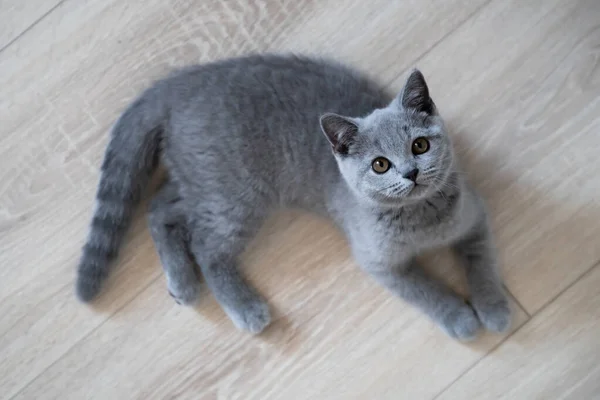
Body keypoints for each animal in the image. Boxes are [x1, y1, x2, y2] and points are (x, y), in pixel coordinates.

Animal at [77, 53, 510, 340]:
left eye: (420, 145)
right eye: (380, 165)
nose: (411, 172)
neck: (424, 219)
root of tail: (180, 84)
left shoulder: (473, 215)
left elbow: (481, 264)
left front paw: (494, 308)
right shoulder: (379, 262)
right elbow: (424, 289)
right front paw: (460, 318)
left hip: (206, 181)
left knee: (159, 207)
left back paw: (182, 283)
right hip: (237, 195)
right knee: (205, 246)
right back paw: (243, 307)